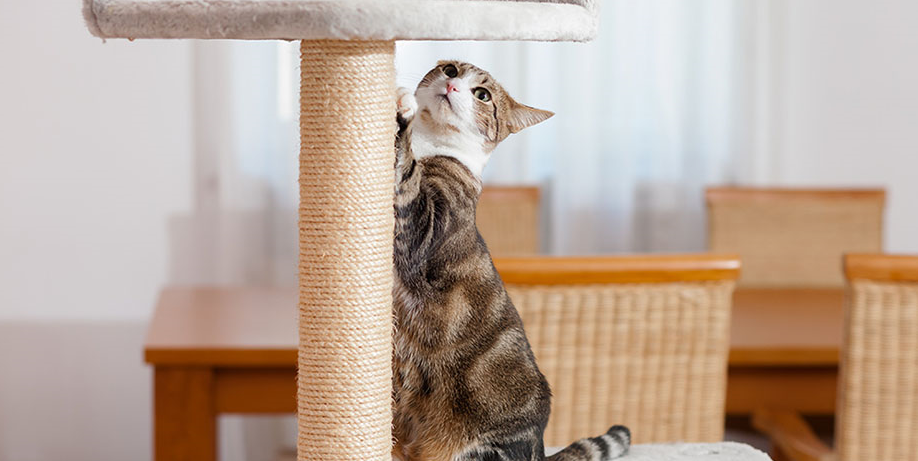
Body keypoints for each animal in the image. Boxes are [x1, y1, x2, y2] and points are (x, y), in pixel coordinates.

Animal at [388, 61, 632, 460]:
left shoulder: (426, 227)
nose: (452, 85)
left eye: (482, 94)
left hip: (482, 447)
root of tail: (539, 451)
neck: (430, 143)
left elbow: (405, 178)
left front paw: (400, 111)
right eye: (450, 68)